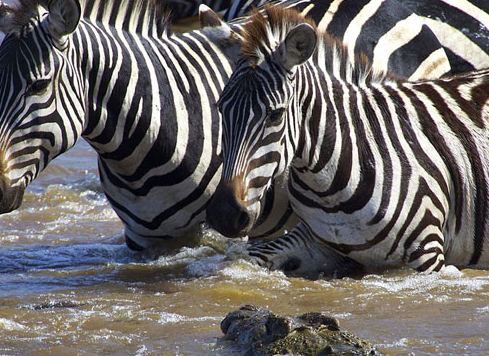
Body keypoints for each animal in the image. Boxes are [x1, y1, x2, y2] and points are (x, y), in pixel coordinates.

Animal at [207, 6, 489, 276]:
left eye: (275, 114)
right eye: (220, 108)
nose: (224, 215)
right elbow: (256, 257)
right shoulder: (319, 242)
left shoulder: (428, 251)